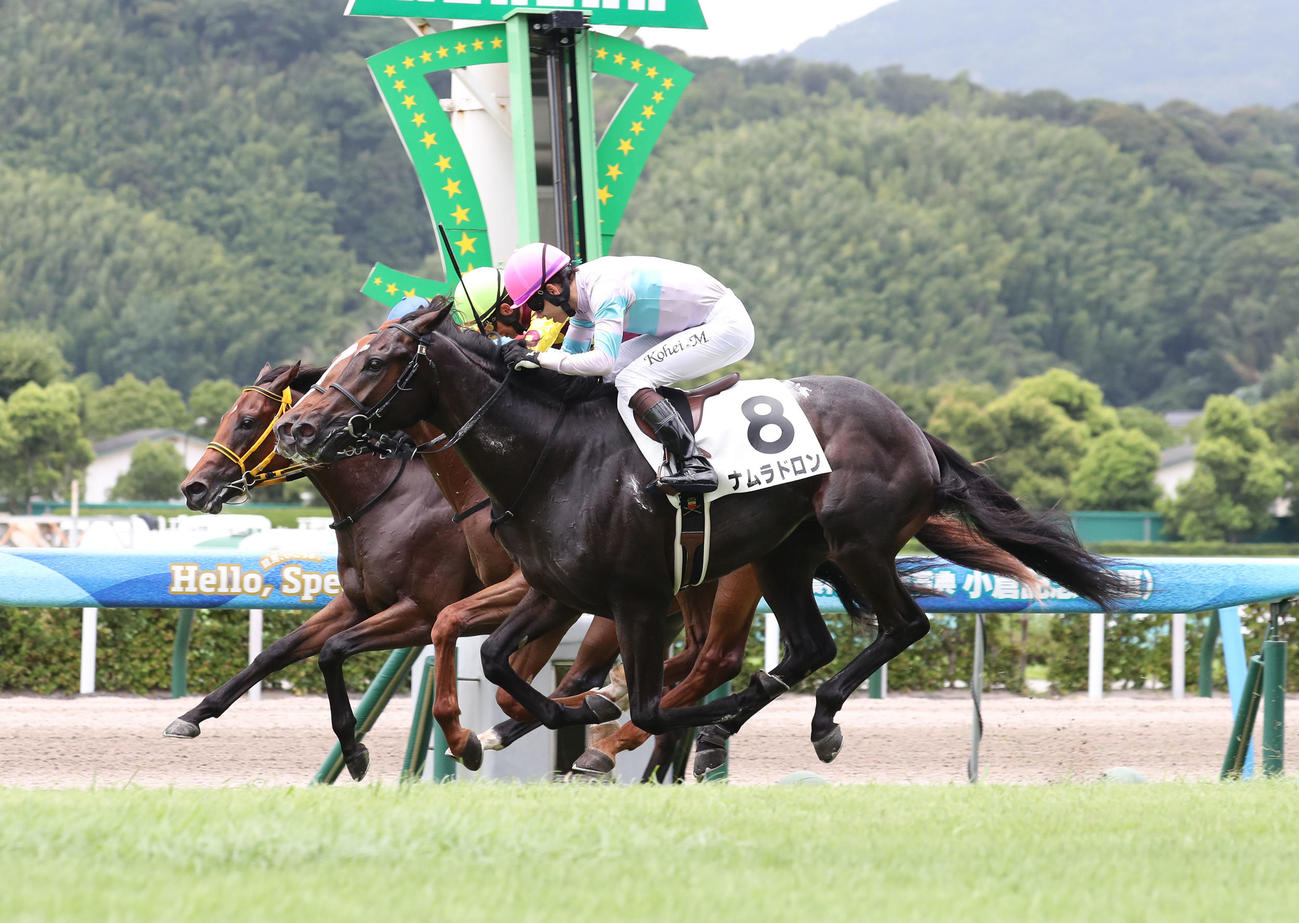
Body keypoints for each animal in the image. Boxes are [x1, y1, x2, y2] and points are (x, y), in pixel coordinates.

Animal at [277, 301, 1126, 765]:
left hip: (855, 543)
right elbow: (498, 659)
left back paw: (806, 716)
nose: (296, 426)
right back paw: (743, 720)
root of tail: (910, 425)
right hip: (787, 556)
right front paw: (551, 718)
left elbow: (650, 705)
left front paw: (608, 721)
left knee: (897, 625)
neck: (553, 455)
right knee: (810, 645)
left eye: (379, 360)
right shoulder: (553, 588)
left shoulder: (635, 597)